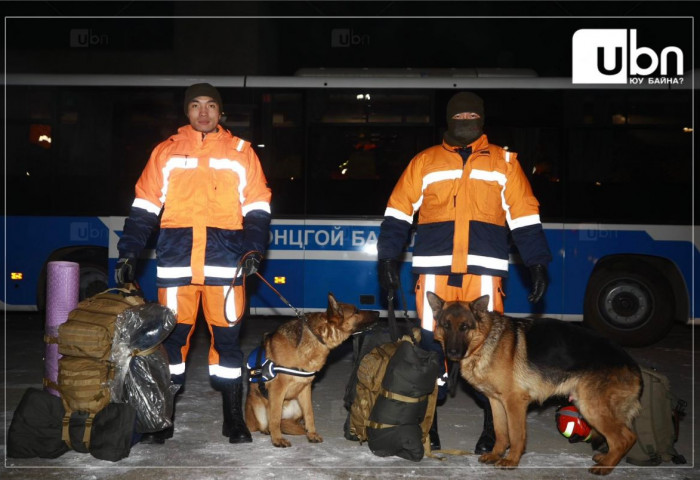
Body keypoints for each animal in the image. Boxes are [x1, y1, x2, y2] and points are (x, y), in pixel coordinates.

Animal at [245, 292, 378, 446]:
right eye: (356, 311)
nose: (378, 312)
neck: (317, 337)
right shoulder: (277, 389)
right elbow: (275, 417)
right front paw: (277, 439)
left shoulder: (306, 388)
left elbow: (310, 413)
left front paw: (312, 434)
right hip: (258, 409)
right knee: (267, 422)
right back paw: (267, 430)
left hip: (297, 406)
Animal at [426, 292, 640, 476]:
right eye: (446, 325)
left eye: (464, 327)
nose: (452, 353)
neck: (485, 340)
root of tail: (633, 365)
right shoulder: (496, 402)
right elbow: (501, 432)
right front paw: (496, 454)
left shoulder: (515, 402)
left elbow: (516, 434)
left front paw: (511, 460)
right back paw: (605, 459)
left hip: (591, 408)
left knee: (625, 438)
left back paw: (606, 466)